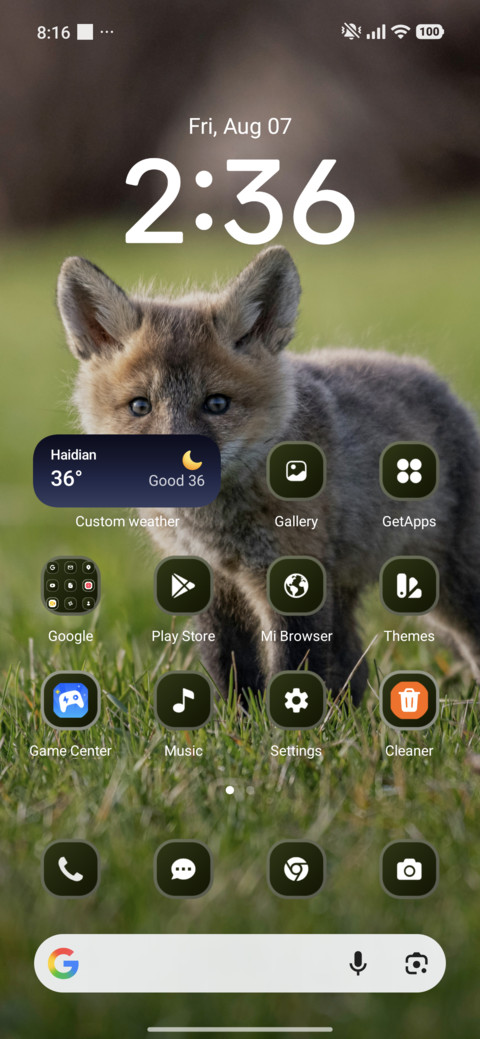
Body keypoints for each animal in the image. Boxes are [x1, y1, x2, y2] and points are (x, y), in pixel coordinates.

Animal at [57, 246, 480, 704]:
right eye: (140, 406)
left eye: (217, 404)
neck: (217, 530)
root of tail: (435, 380)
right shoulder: (207, 582)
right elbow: (229, 668)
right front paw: (237, 720)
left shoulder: (292, 572)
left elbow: (291, 667)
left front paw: (287, 722)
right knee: (354, 670)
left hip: (450, 589)